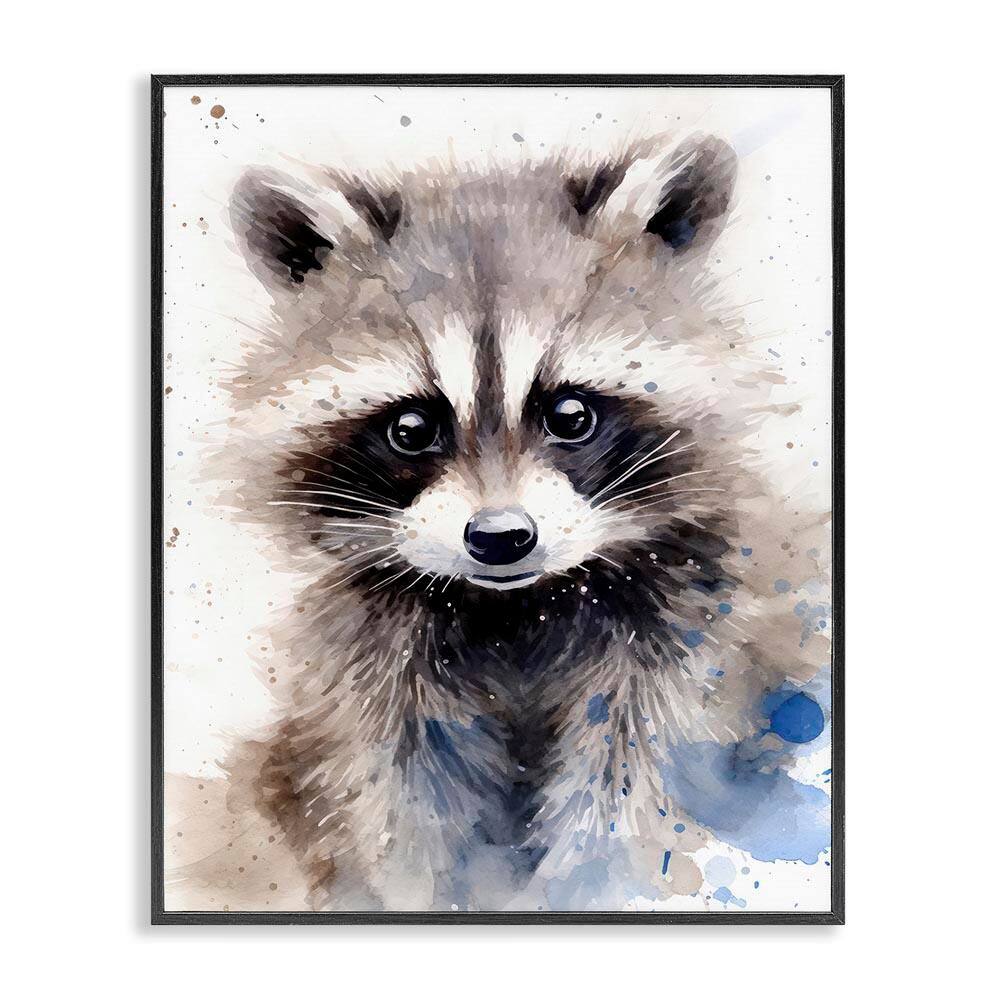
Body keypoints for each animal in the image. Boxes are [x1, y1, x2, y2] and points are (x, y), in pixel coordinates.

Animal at [210, 133, 831, 911]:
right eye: (412, 428)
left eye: (570, 413)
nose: (500, 539)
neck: (516, 610)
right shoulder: (373, 666)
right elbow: (402, 802)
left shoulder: (693, 626)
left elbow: (633, 783)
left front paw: (591, 881)